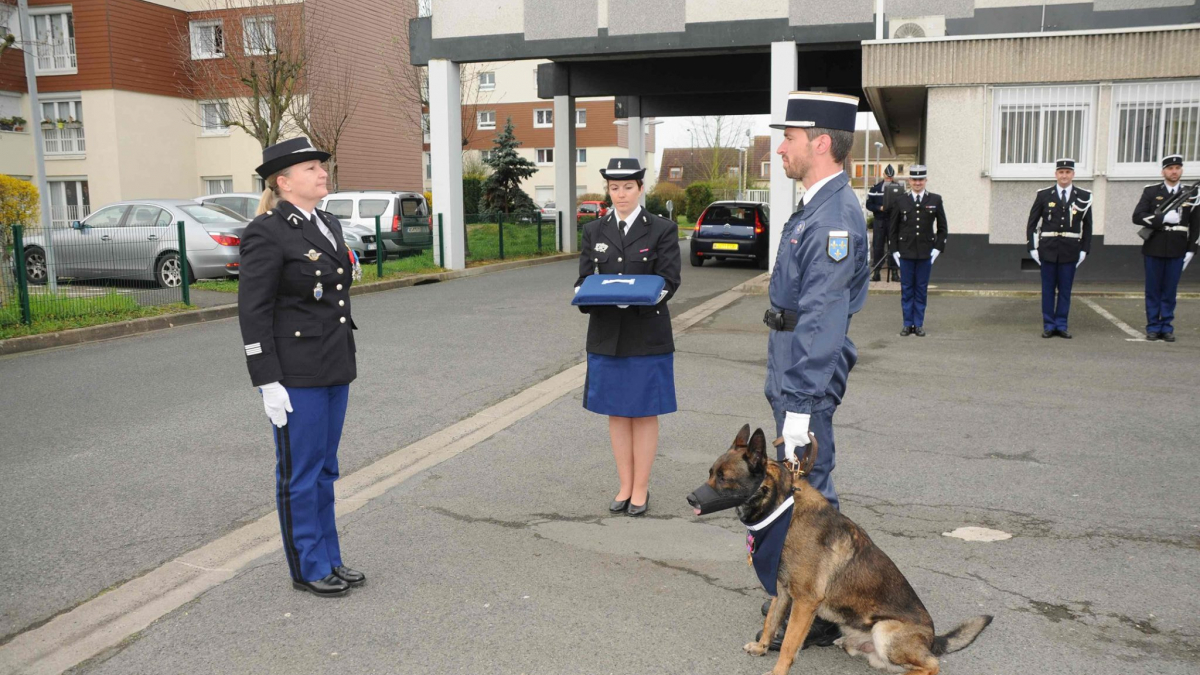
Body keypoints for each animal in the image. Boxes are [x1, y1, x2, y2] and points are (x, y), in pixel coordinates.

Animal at [691, 425, 988, 672]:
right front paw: (762, 646)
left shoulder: (805, 602)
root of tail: (932, 639)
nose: (690, 498)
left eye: (723, 478)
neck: (781, 507)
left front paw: (777, 670)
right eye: (710, 473)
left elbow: (788, 644)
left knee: (932, 665)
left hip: (884, 630)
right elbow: (771, 622)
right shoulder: (783, 591)